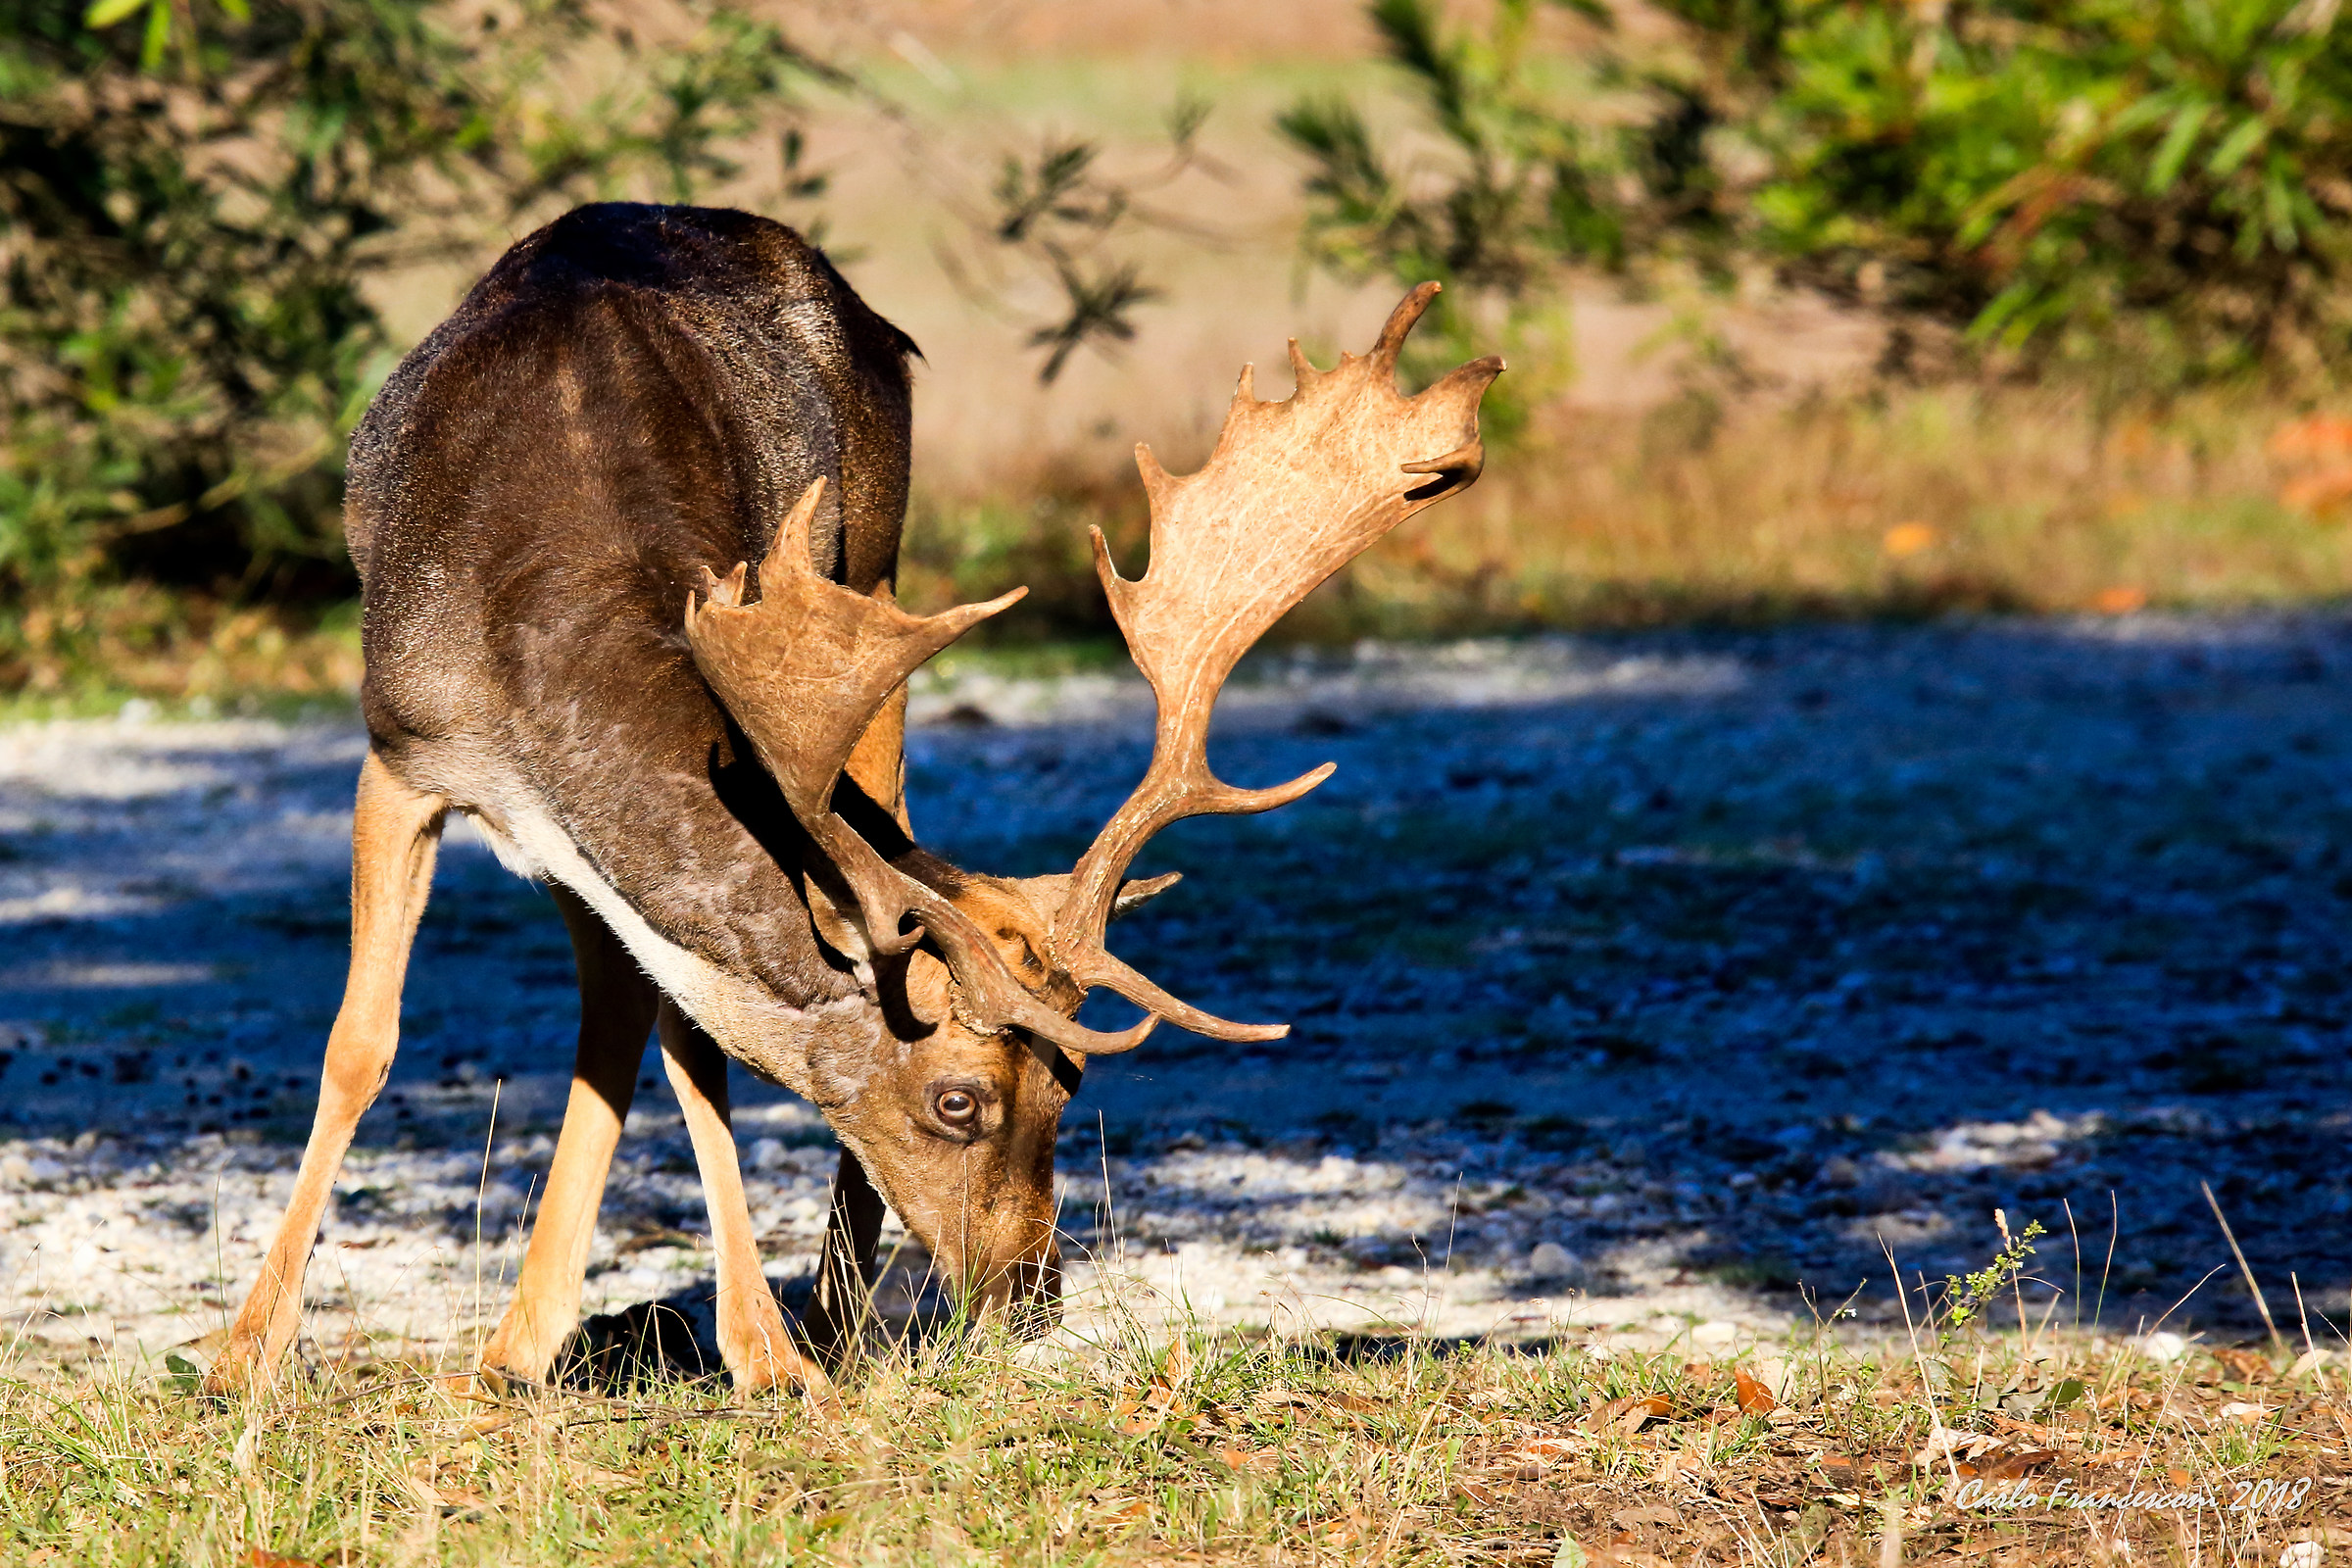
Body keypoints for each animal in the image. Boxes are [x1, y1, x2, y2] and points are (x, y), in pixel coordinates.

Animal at [200, 201, 1498, 1401]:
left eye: (1069, 1084)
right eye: (961, 1098)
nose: (1031, 1293)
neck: (542, 633)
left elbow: (696, 1050)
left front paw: (771, 1357)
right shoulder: (402, 752)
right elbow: (361, 1044)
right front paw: (241, 1352)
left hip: (873, 580)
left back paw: (815, 1309)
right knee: (613, 997)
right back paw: (524, 1343)